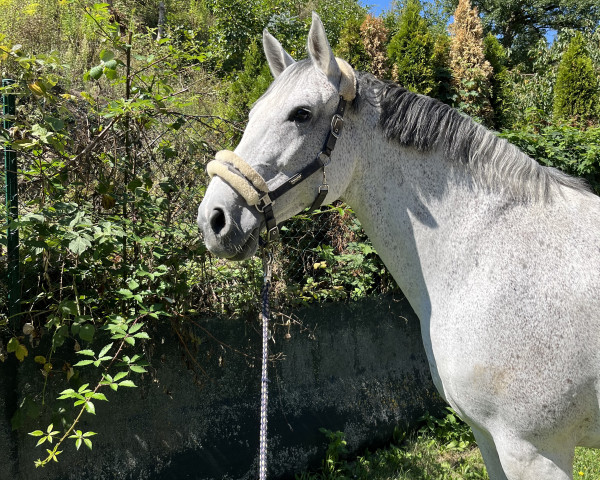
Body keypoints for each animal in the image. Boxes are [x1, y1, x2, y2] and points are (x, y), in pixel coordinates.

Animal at [199, 13, 600, 478]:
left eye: (301, 114)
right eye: (253, 113)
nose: (213, 219)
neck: (486, 258)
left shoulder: (535, 451)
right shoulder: (488, 437)